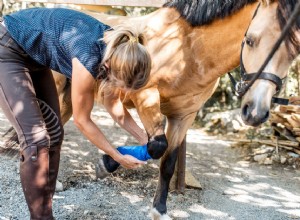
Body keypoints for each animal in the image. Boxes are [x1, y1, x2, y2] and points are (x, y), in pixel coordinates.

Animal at [3, 0, 262, 219]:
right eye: (252, 40)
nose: (255, 111)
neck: (187, 47)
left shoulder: (184, 115)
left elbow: (166, 158)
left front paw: (160, 209)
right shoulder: (145, 96)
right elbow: (157, 146)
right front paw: (108, 162)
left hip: (66, 98)